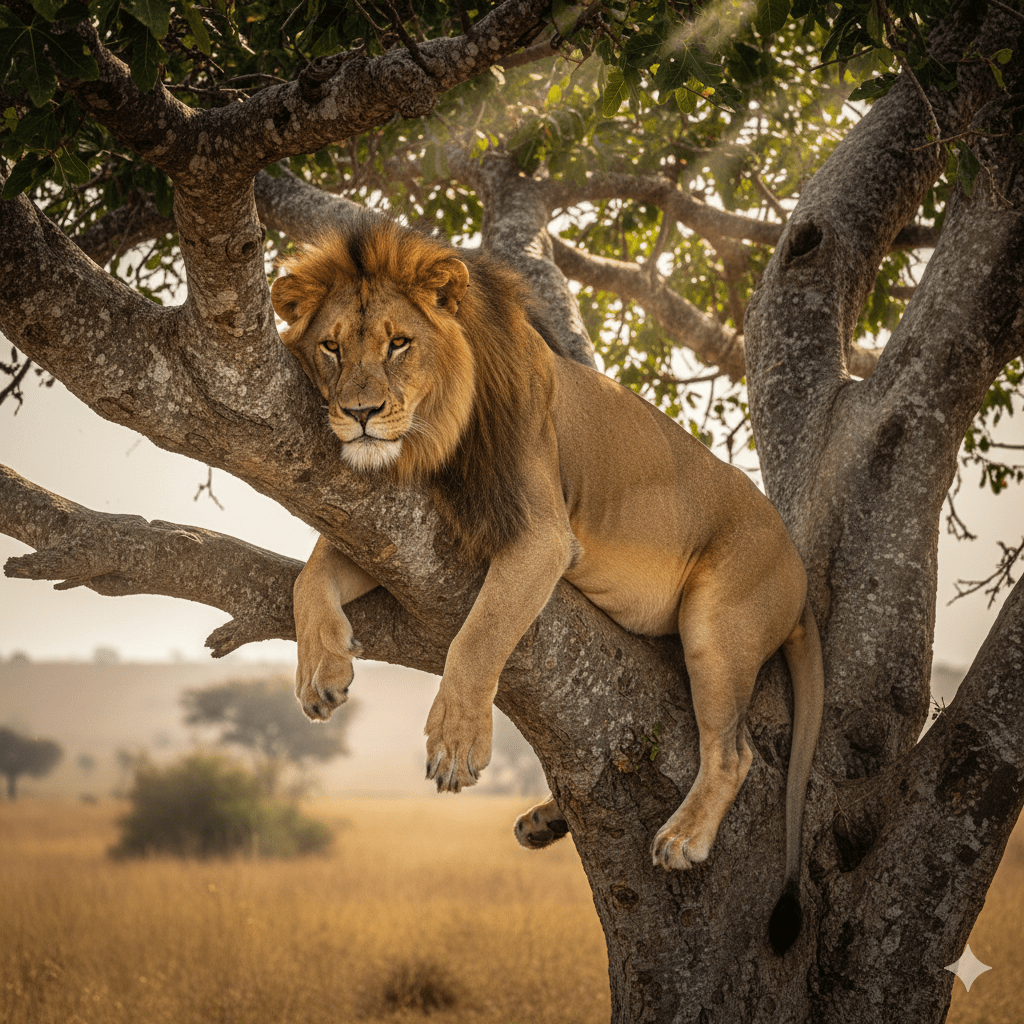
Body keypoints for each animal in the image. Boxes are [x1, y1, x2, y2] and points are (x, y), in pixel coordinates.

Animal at [270, 212, 824, 954]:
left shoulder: (541, 536)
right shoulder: (407, 523)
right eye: (331, 348)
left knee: (734, 753)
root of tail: (799, 575)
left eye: (398, 343)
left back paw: (683, 838)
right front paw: (321, 672)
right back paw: (546, 818)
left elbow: (479, 636)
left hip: (718, 621)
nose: (359, 413)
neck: (437, 435)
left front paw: (455, 743)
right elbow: (311, 575)